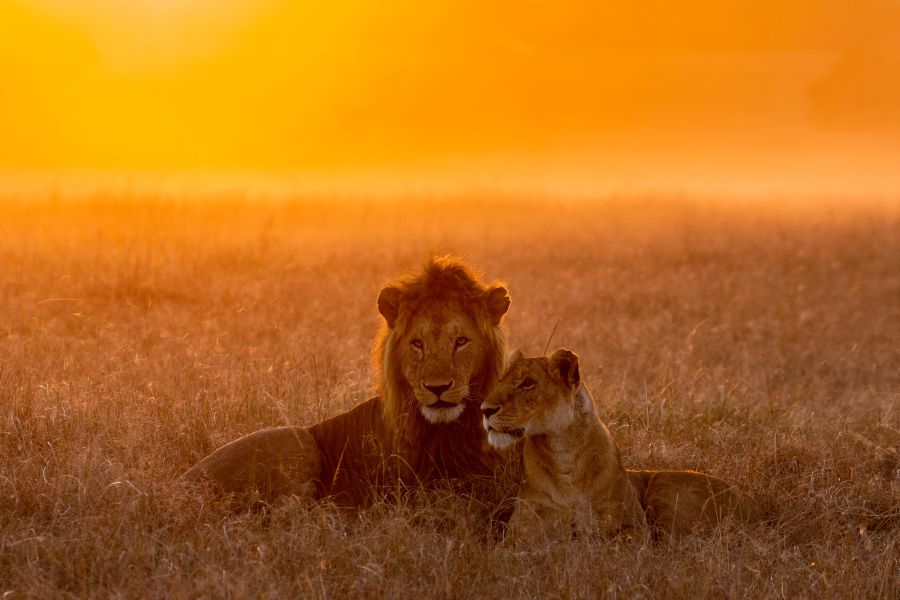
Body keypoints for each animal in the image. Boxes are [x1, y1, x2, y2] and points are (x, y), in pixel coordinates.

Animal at [182, 255, 516, 508]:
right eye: (417, 344)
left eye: (461, 341)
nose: (437, 388)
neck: (448, 431)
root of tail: (180, 486)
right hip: (296, 440)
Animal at [482, 346, 764, 544]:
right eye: (501, 380)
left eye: (527, 383)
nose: (485, 409)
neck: (563, 453)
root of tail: (756, 507)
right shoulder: (518, 535)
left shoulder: (634, 530)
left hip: (664, 489)